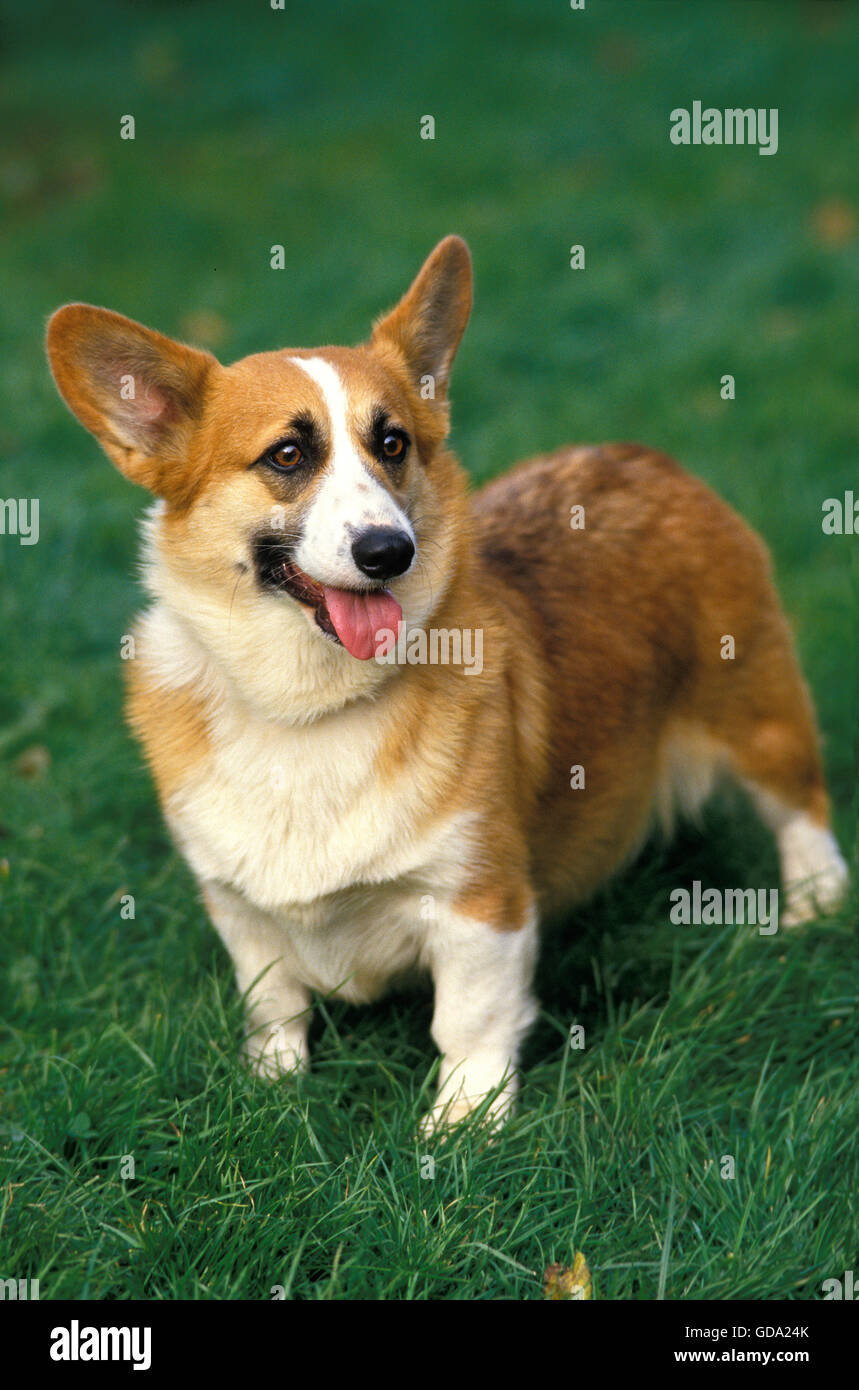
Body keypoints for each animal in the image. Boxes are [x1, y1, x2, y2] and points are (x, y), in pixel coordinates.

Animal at [45, 239, 845, 1128]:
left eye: (392, 443)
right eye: (287, 454)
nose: (388, 551)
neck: (309, 709)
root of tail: (643, 459)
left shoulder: (478, 900)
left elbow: (466, 1020)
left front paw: (465, 1125)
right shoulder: (238, 905)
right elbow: (273, 1001)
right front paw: (272, 1088)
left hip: (756, 713)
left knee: (801, 810)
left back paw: (813, 906)